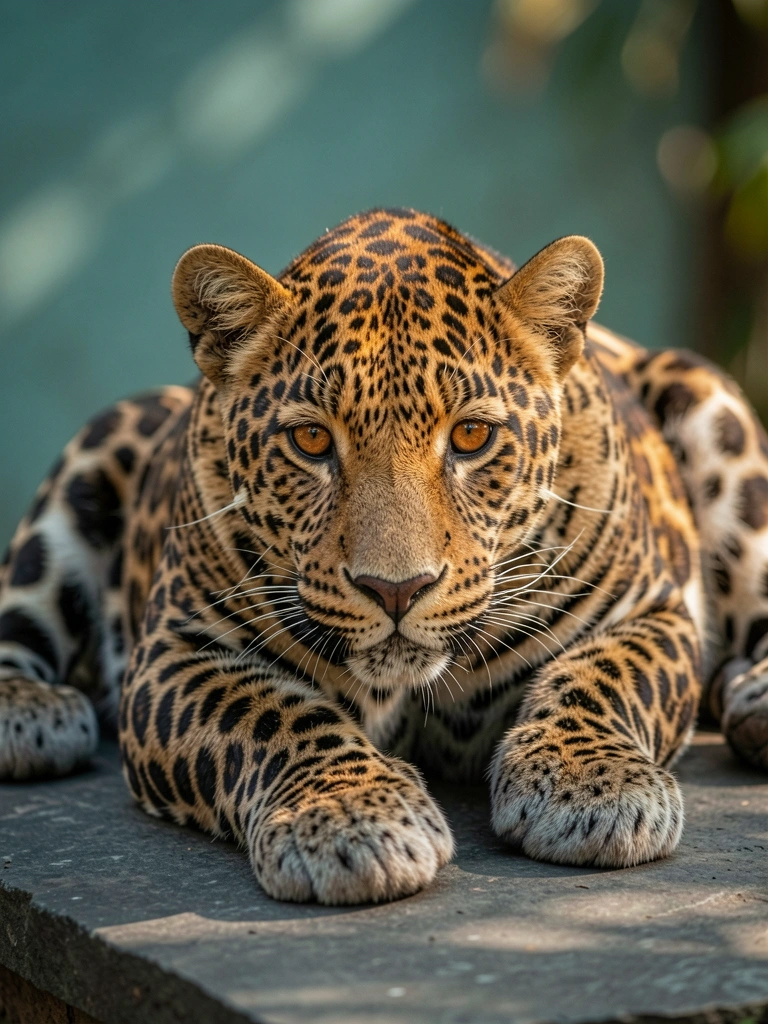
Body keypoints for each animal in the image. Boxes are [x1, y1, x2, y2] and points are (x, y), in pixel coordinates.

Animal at [1, 207, 767, 906]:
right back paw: (31, 713)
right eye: (311, 441)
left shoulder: (649, 609)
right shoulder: (176, 651)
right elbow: (272, 713)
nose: (395, 590)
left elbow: (601, 674)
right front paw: (349, 819)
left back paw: (755, 698)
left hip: (714, 402)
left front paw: (592, 785)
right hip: (97, 445)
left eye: (472, 436)